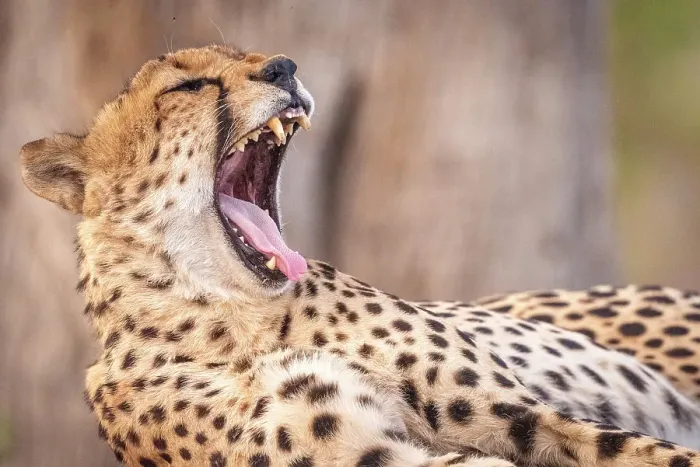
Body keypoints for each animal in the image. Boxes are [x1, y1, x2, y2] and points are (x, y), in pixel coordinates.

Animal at [19, 45, 700, 467]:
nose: (284, 67)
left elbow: (647, 451)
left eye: (249, 57)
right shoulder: (379, 454)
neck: (239, 316)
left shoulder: (517, 418)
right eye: (189, 84)